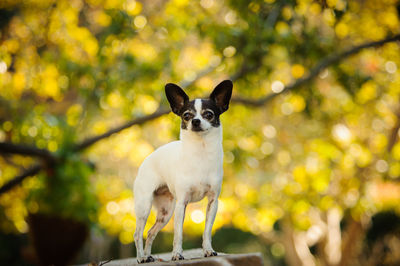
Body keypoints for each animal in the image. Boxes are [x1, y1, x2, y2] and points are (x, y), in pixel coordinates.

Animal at [134, 80, 233, 262]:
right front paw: (177, 254)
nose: (195, 121)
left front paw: (208, 250)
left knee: (150, 233)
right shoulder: (182, 204)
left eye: (208, 114)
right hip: (144, 207)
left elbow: (207, 231)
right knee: (138, 234)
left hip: (165, 212)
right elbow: (178, 234)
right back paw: (141, 258)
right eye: (186, 115)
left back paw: (148, 255)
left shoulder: (213, 202)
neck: (200, 151)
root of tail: (147, 158)